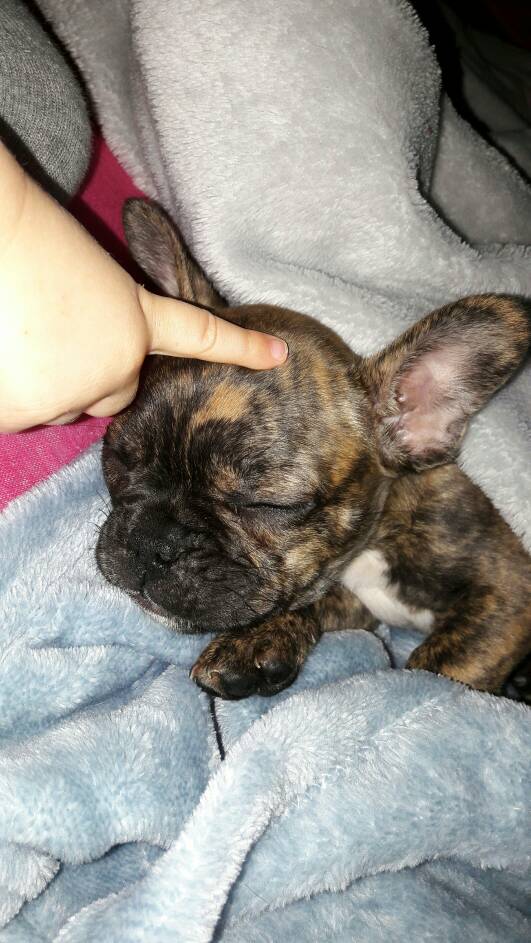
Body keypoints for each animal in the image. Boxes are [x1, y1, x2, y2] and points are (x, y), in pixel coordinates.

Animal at [96, 199, 531, 701]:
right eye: (118, 457)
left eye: (268, 504)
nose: (153, 541)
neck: (378, 535)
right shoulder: (356, 599)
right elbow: (316, 601)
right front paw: (256, 642)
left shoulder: (508, 591)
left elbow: (440, 672)